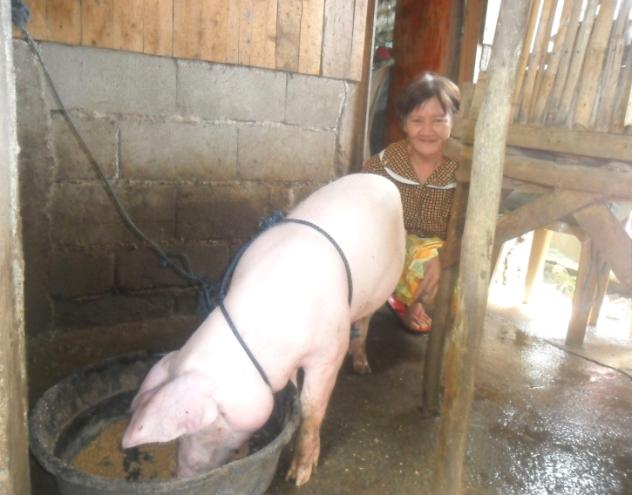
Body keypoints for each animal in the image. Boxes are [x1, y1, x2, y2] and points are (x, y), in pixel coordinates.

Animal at [121, 173, 405, 486]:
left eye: (204, 427)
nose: (182, 474)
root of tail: (379, 179)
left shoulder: (329, 350)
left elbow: (311, 407)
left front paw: (298, 476)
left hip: (383, 284)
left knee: (365, 320)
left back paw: (363, 367)